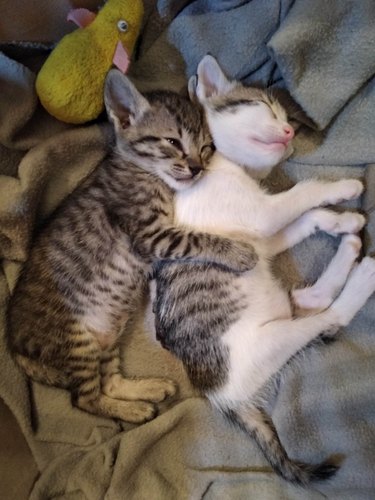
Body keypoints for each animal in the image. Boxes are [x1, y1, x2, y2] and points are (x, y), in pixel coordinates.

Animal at [5, 69, 258, 422]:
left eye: (207, 147)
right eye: (172, 142)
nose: (196, 168)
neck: (145, 172)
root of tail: (14, 347)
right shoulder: (150, 235)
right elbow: (197, 238)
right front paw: (238, 252)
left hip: (106, 336)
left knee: (108, 382)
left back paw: (145, 390)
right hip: (77, 341)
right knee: (84, 400)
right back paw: (132, 410)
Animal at [153, 56, 375, 486]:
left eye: (286, 117)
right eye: (263, 108)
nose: (289, 132)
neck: (218, 163)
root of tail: (222, 398)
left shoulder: (260, 241)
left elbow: (303, 218)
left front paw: (339, 220)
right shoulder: (260, 216)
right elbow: (304, 191)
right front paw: (341, 187)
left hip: (283, 308)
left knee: (312, 299)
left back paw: (351, 245)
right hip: (271, 341)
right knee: (330, 318)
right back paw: (363, 275)